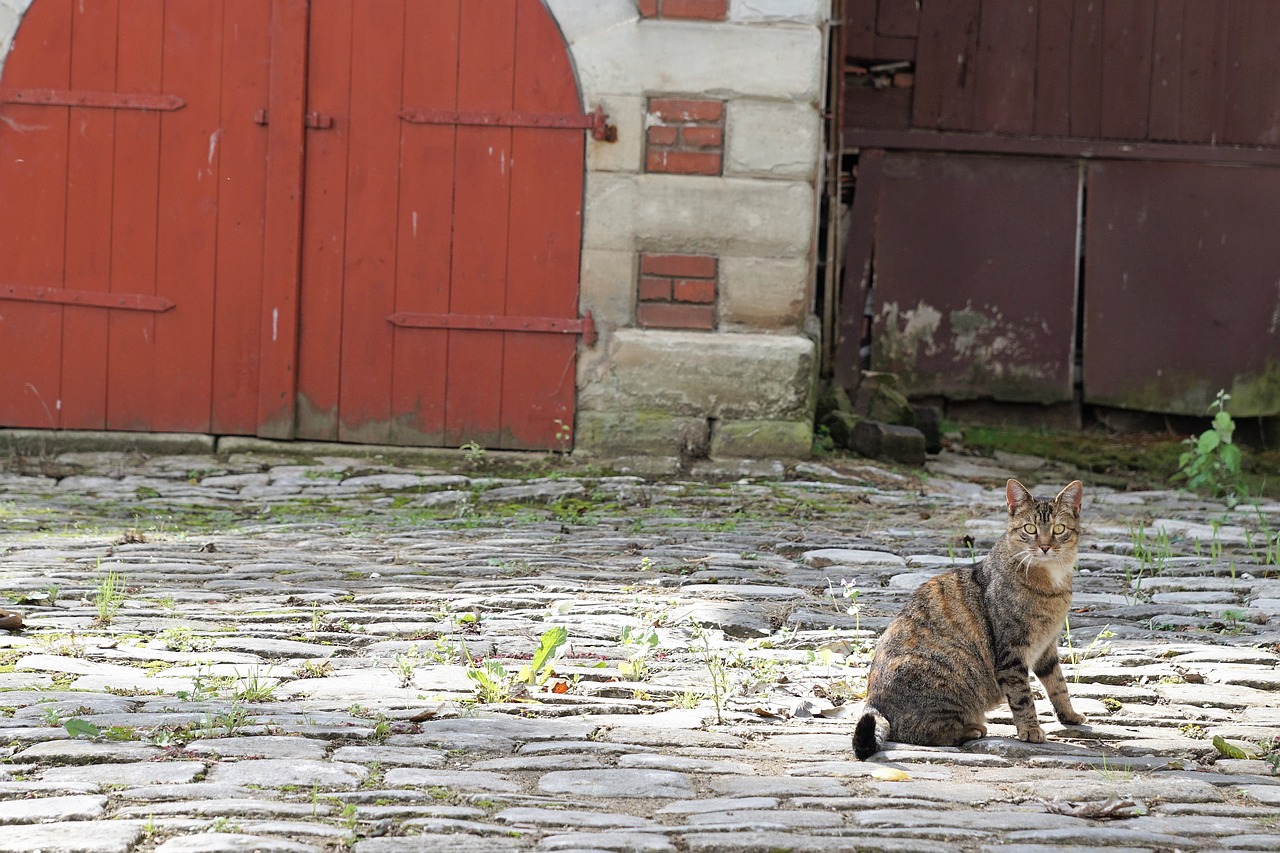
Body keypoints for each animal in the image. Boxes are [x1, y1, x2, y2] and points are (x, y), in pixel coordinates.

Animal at [855, 473, 1085, 758]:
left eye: (1059, 529)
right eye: (1030, 529)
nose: (1044, 546)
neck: (1052, 583)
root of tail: (873, 703)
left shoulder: (1047, 647)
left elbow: (1059, 685)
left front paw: (1069, 715)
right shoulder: (1012, 653)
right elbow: (1023, 696)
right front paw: (1030, 729)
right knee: (916, 731)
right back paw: (970, 729)